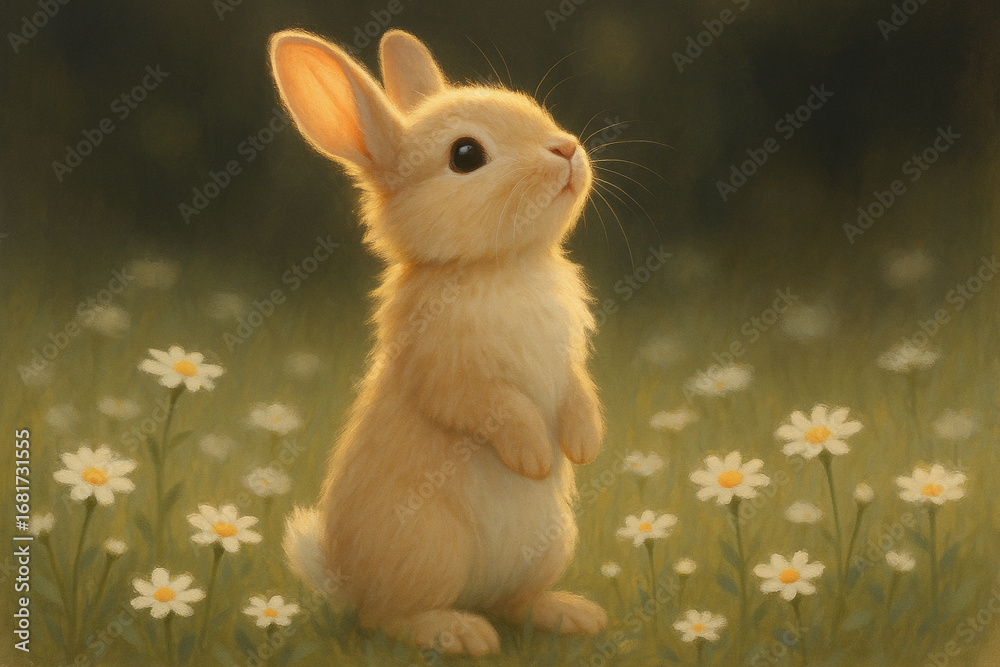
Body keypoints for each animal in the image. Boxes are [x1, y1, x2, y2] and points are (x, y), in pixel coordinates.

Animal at [270, 28, 606, 656]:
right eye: (466, 156)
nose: (567, 149)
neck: (499, 265)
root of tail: (346, 579)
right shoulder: (446, 373)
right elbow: (495, 406)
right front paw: (534, 458)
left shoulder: (569, 361)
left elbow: (577, 392)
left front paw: (582, 446)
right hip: (431, 549)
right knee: (387, 616)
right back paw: (458, 633)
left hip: (550, 545)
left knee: (513, 600)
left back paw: (570, 614)